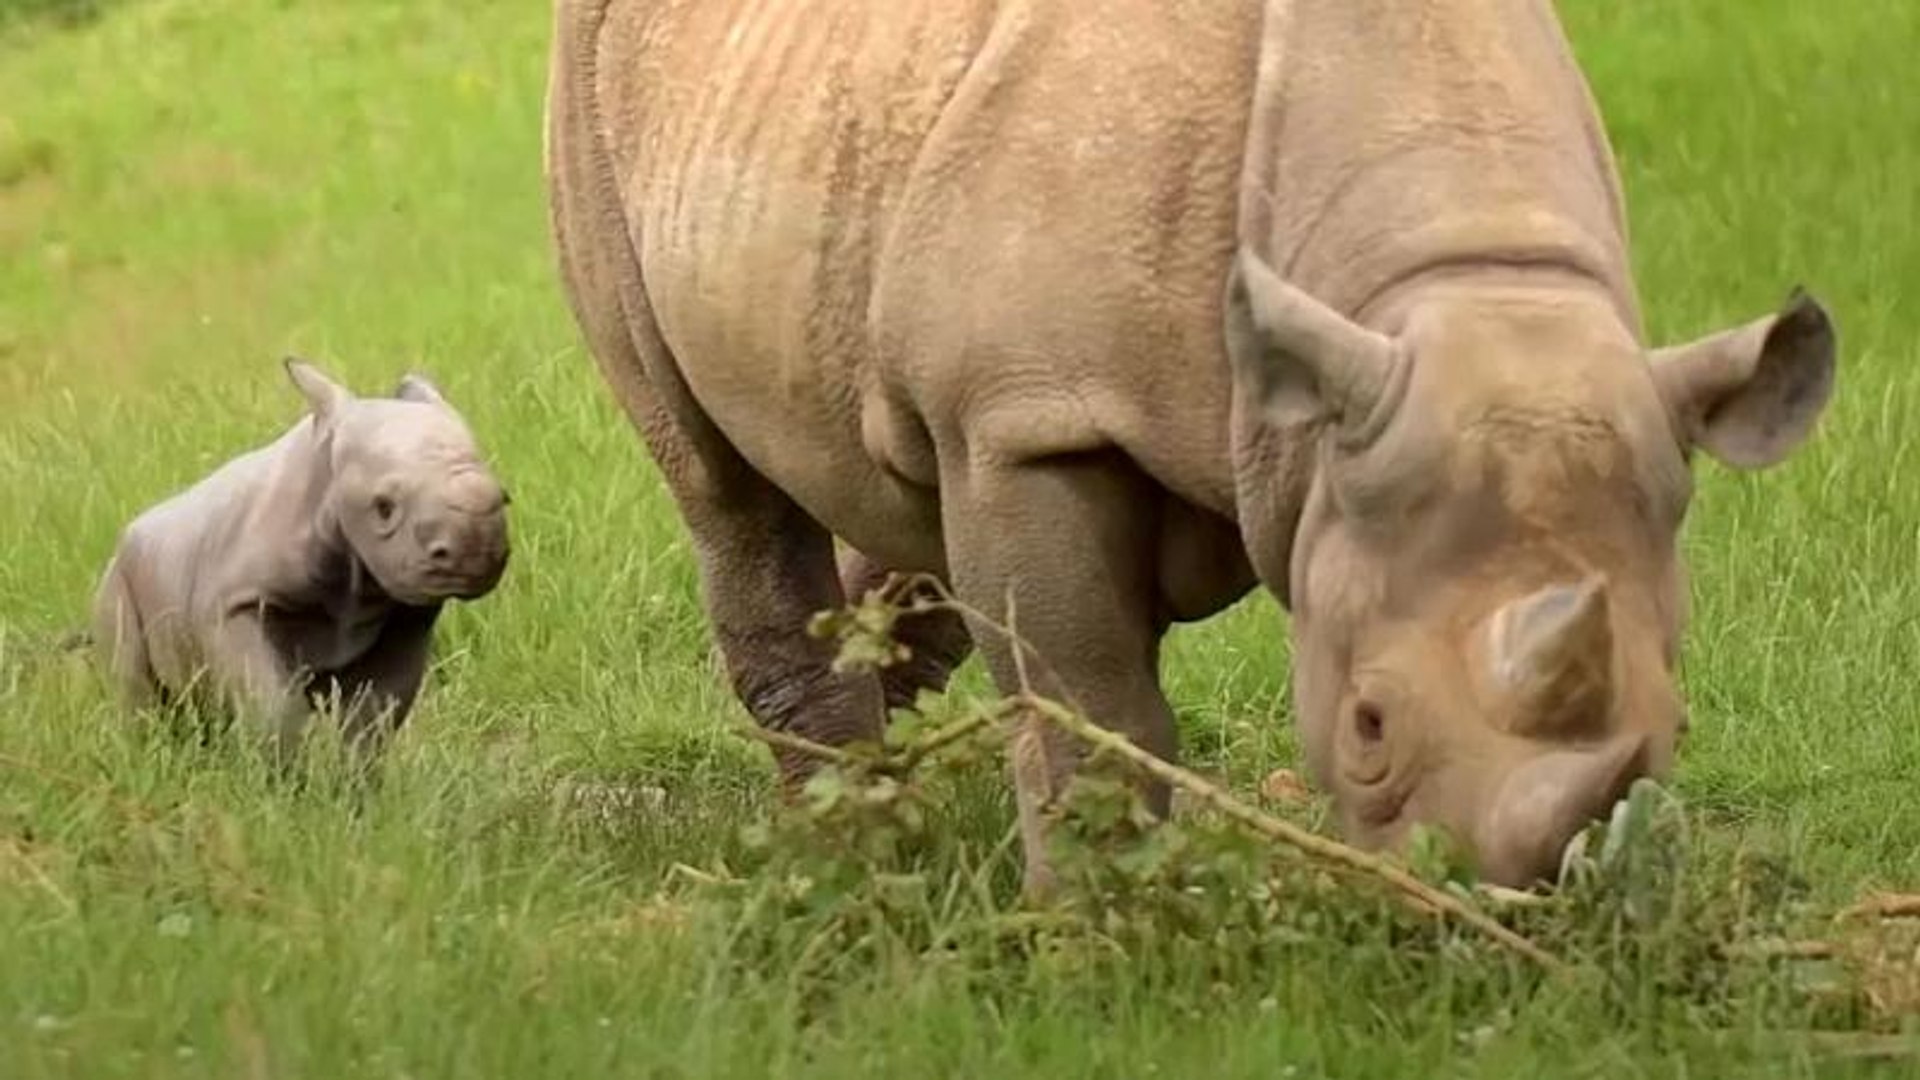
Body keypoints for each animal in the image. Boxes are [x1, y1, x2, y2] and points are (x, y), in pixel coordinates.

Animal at [91, 357, 510, 760]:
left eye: (505, 498)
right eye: (384, 507)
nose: (475, 554)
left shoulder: (406, 614)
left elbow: (373, 717)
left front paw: (352, 780)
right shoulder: (234, 603)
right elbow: (271, 705)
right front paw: (282, 775)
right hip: (117, 577)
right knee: (140, 690)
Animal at [549, 0, 1835, 887]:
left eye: (1676, 726)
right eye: (1367, 727)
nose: (1507, 913)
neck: (1462, 280)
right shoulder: (1033, 416)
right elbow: (1093, 704)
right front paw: (1098, 930)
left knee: (907, 500)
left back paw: (883, 810)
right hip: (588, 102)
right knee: (721, 482)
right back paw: (847, 856)